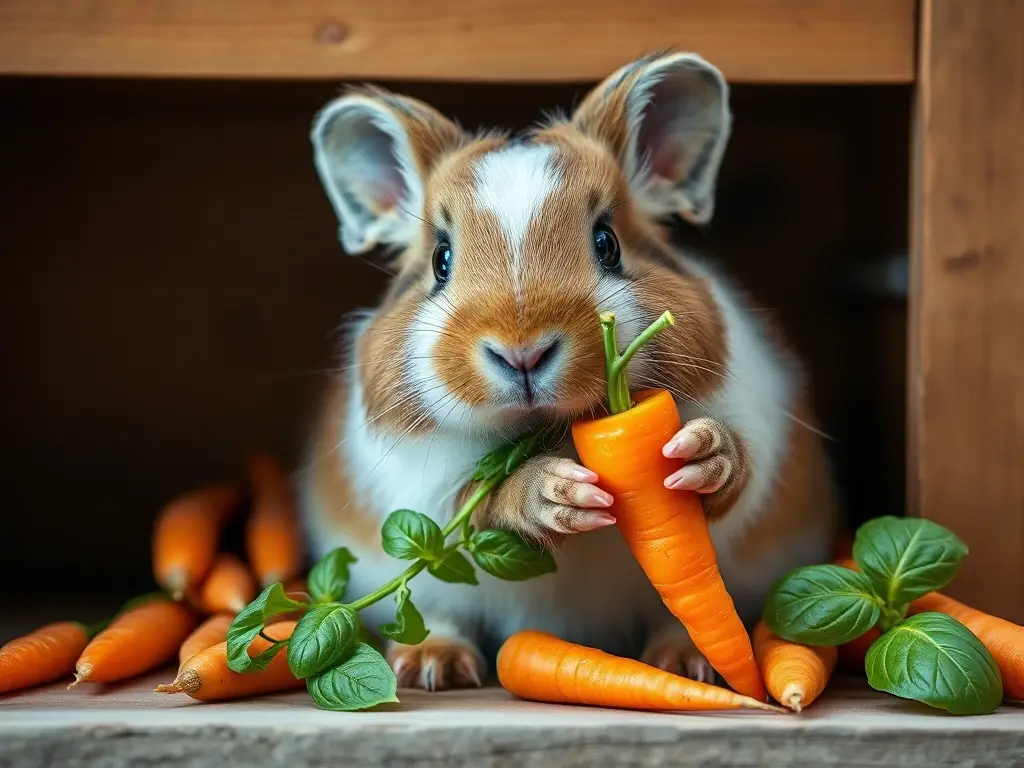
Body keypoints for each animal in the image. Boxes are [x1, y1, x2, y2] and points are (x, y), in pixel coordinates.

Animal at [299, 51, 840, 691]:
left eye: (607, 243)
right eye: (441, 260)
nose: (523, 352)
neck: (552, 431)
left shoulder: (754, 417)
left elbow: (740, 472)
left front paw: (705, 454)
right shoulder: (422, 484)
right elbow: (480, 501)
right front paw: (553, 493)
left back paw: (687, 660)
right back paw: (434, 666)